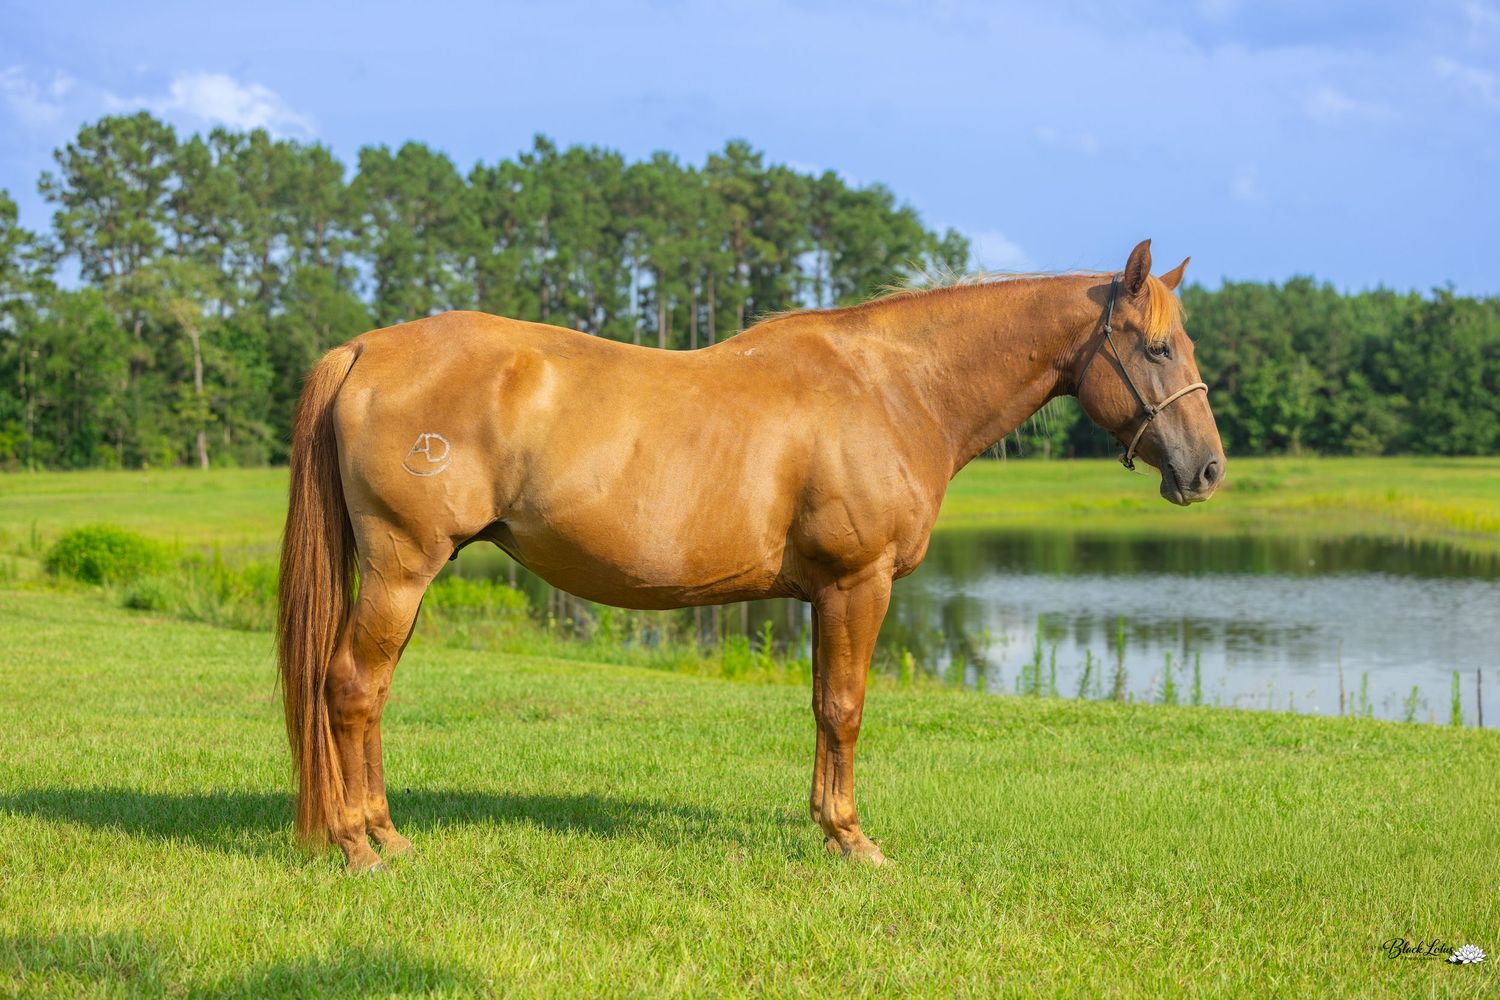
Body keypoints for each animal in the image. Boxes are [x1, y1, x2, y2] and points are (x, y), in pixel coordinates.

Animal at [276, 238, 1226, 871]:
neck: (893, 388)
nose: (1208, 469)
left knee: (370, 694)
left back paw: (386, 832)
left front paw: (824, 824)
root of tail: (363, 349)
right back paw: (358, 846)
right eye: (1155, 347)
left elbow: (819, 705)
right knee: (350, 688)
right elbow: (845, 707)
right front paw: (851, 839)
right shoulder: (857, 585)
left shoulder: (823, 596)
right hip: (402, 570)